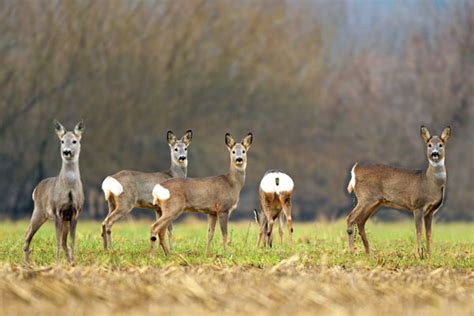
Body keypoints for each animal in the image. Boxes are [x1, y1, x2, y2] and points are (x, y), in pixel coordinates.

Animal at [23, 119, 85, 262]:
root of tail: (35, 189)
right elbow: (56, 240)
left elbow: (71, 240)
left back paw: (68, 261)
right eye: (62, 141)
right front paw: (56, 261)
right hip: (39, 211)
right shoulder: (57, 210)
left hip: (62, 218)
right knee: (27, 234)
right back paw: (26, 262)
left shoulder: (75, 212)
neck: (69, 189)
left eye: (74, 141)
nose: (66, 151)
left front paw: (73, 261)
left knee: (63, 241)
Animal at [344, 125, 452, 256]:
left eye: (441, 144)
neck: (430, 183)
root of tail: (355, 169)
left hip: (374, 202)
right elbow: (419, 231)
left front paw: (429, 255)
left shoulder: (430, 211)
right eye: (429, 145)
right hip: (365, 197)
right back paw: (352, 252)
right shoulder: (417, 206)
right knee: (351, 218)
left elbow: (428, 233)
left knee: (360, 221)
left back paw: (369, 253)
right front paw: (417, 254)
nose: (435, 154)